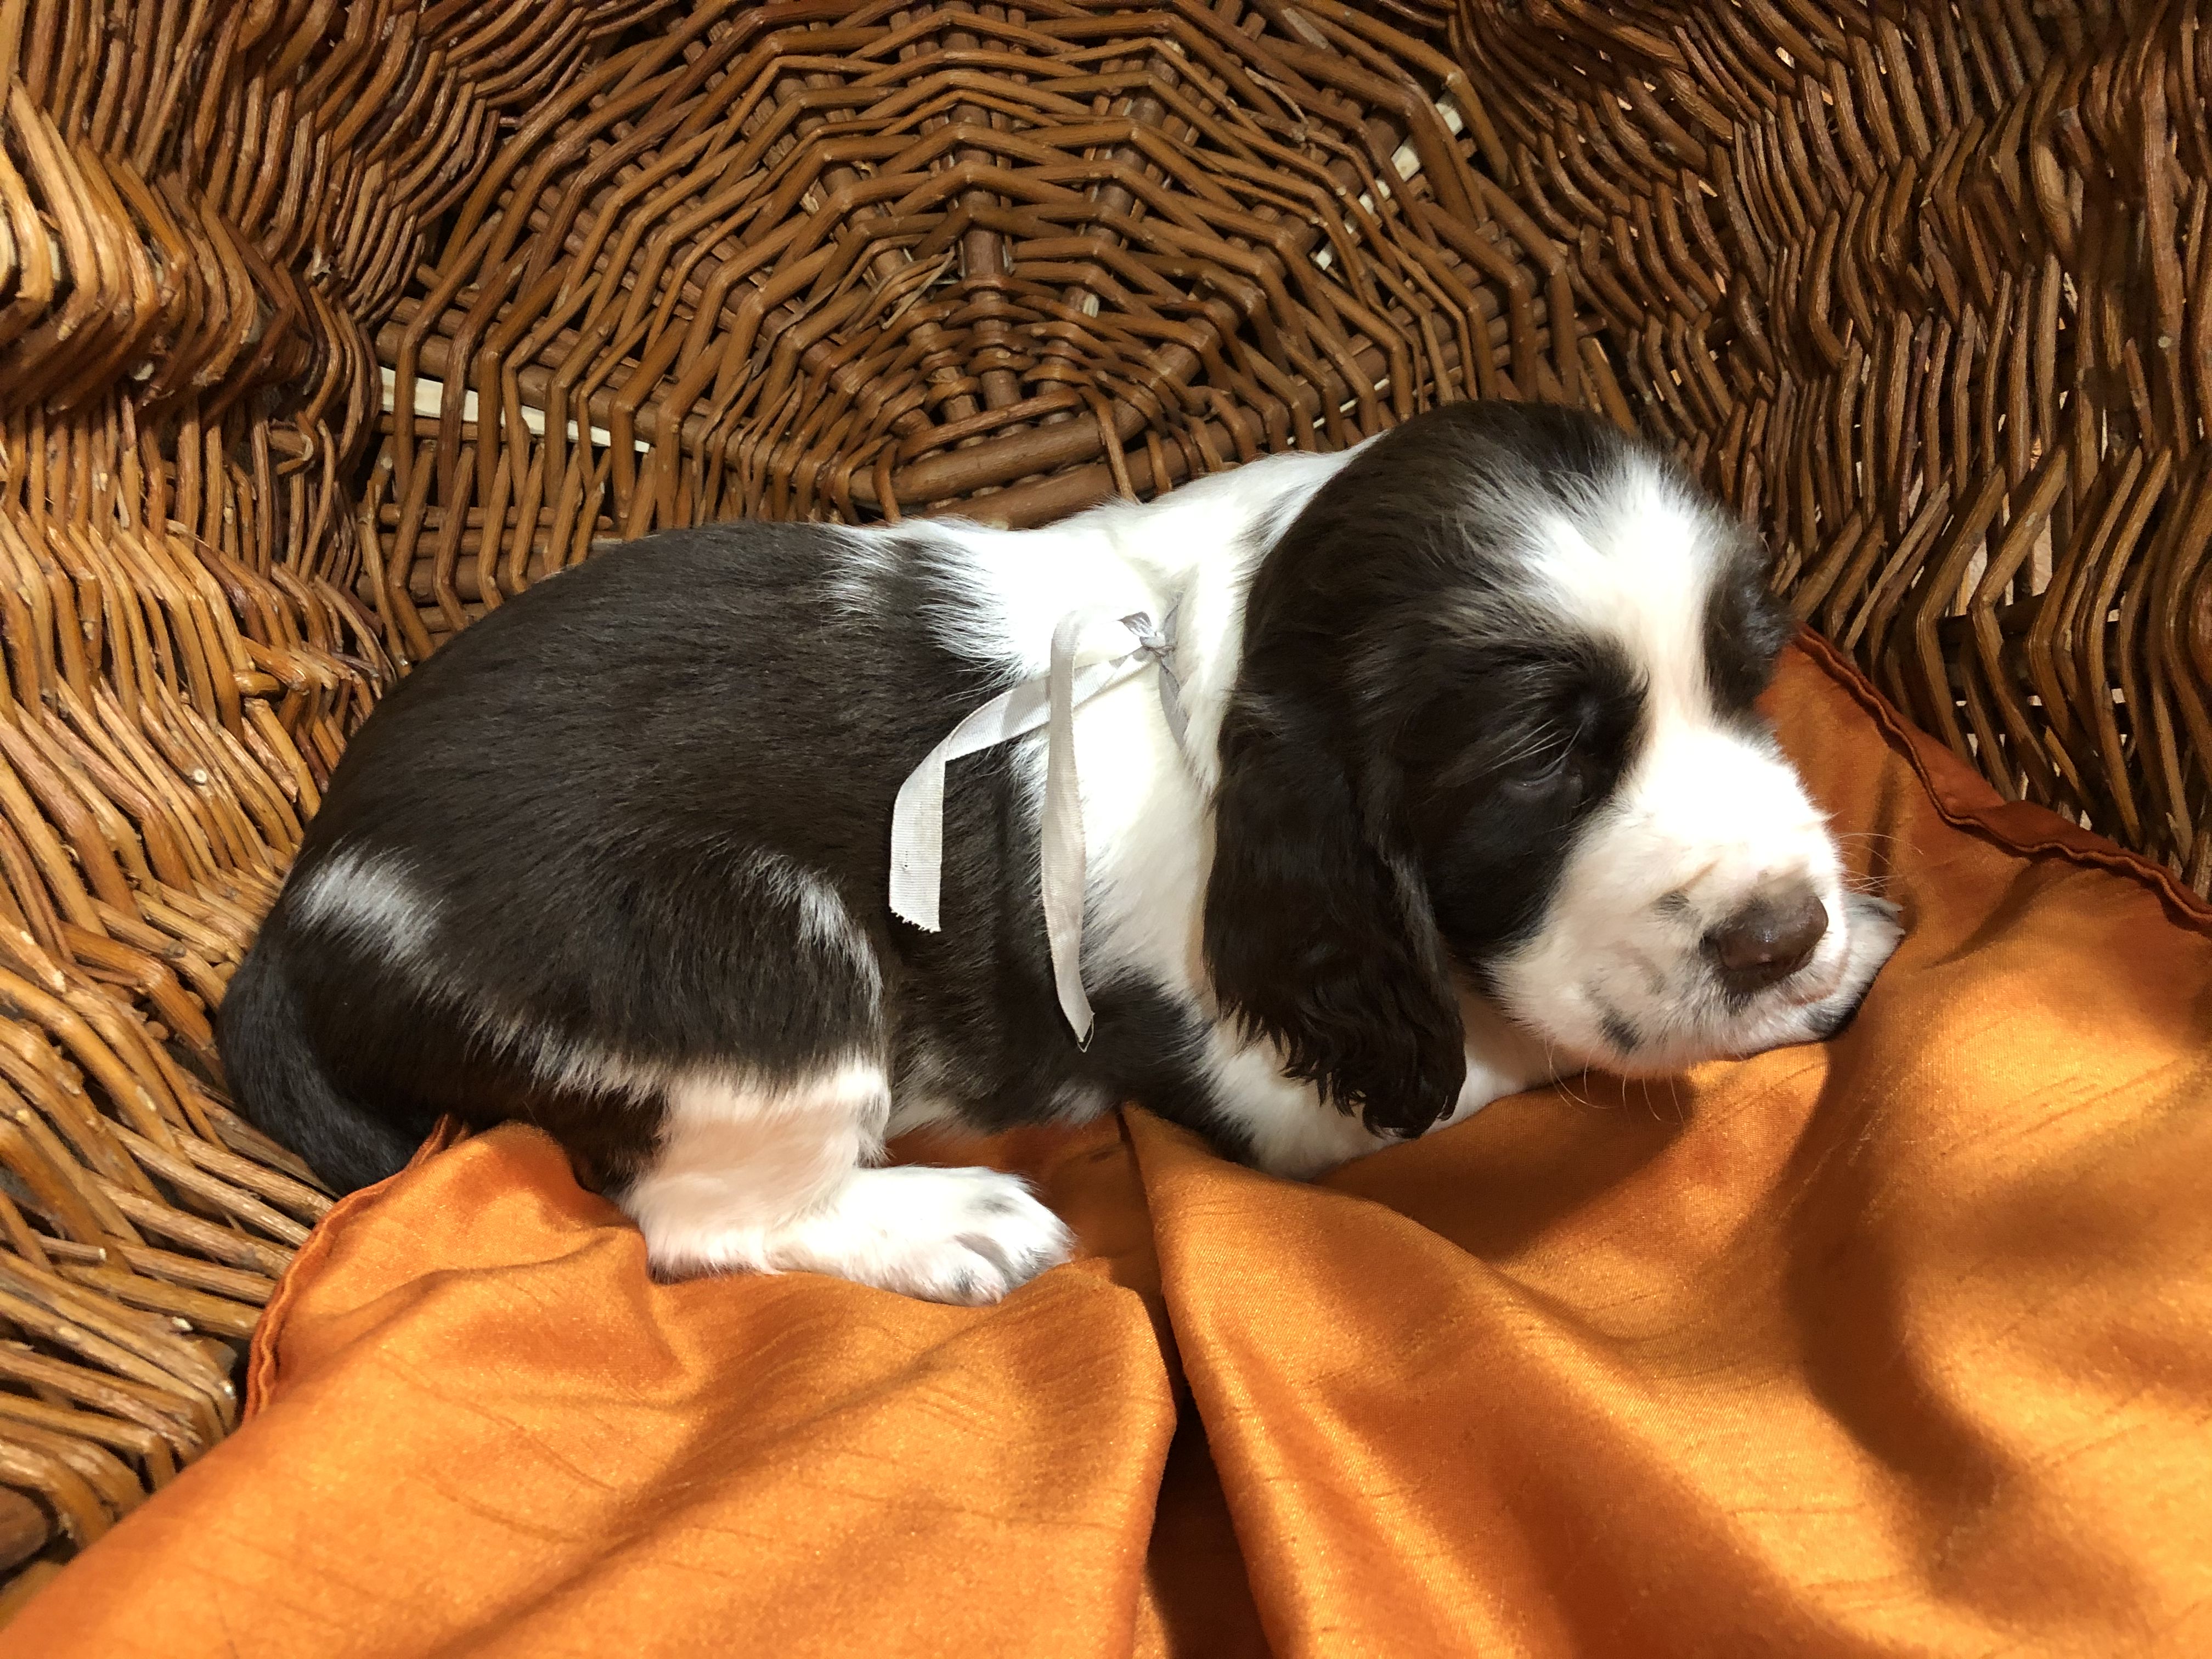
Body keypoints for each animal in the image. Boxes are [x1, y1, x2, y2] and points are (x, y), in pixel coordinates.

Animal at [220, 401, 1903, 1302]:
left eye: (1751, 679)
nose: (1778, 933)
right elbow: (1524, 1048)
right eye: (1539, 765)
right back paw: (951, 1223)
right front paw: (1819, 977)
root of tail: (314, 898)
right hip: (754, 950)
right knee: (699, 1220)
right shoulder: (1287, 1082)